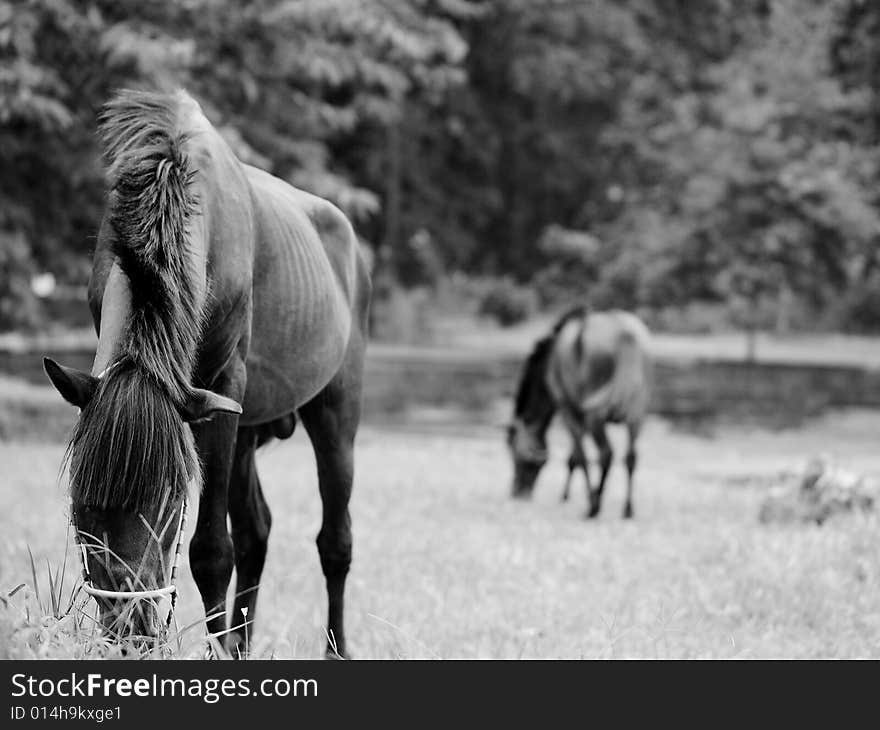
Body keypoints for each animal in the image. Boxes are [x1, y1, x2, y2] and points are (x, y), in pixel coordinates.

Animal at [43, 88, 372, 656]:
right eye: (83, 501)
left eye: (171, 502)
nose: (132, 632)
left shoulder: (220, 389)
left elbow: (213, 551)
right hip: (247, 431)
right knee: (257, 532)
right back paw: (240, 645)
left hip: (334, 412)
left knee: (335, 540)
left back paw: (334, 645)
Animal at [506, 306, 648, 516]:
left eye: (515, 457)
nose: (517, 493)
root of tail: (626, 335)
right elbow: (575, 457)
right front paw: (567, 495)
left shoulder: (567, 407)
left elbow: (578, 457)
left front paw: (575, 497)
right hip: (636, 412)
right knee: (631, 457)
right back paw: (627, 509)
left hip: (595, 414)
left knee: (606, 453)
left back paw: (594, 506)